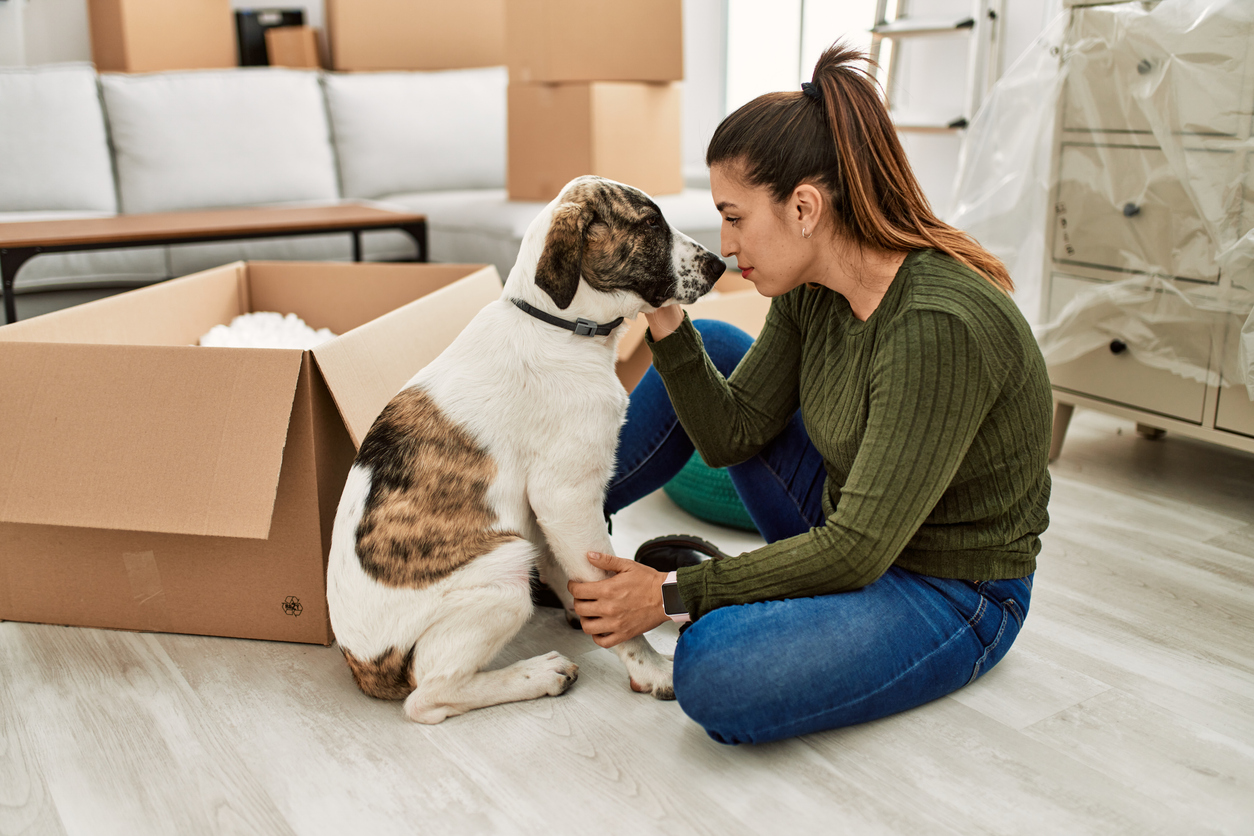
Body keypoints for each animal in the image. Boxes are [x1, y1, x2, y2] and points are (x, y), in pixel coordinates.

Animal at [328, 175, 732, 721]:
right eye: (650, 224)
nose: (721, 264)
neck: (558, 325)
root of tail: (361, 666)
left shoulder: (547, 510)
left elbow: (574, 572)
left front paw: (583, 611)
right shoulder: (564, 496)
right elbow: (600, 583)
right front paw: (649, 667)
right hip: (504, 570)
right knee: (429, 695)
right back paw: (540, 674)